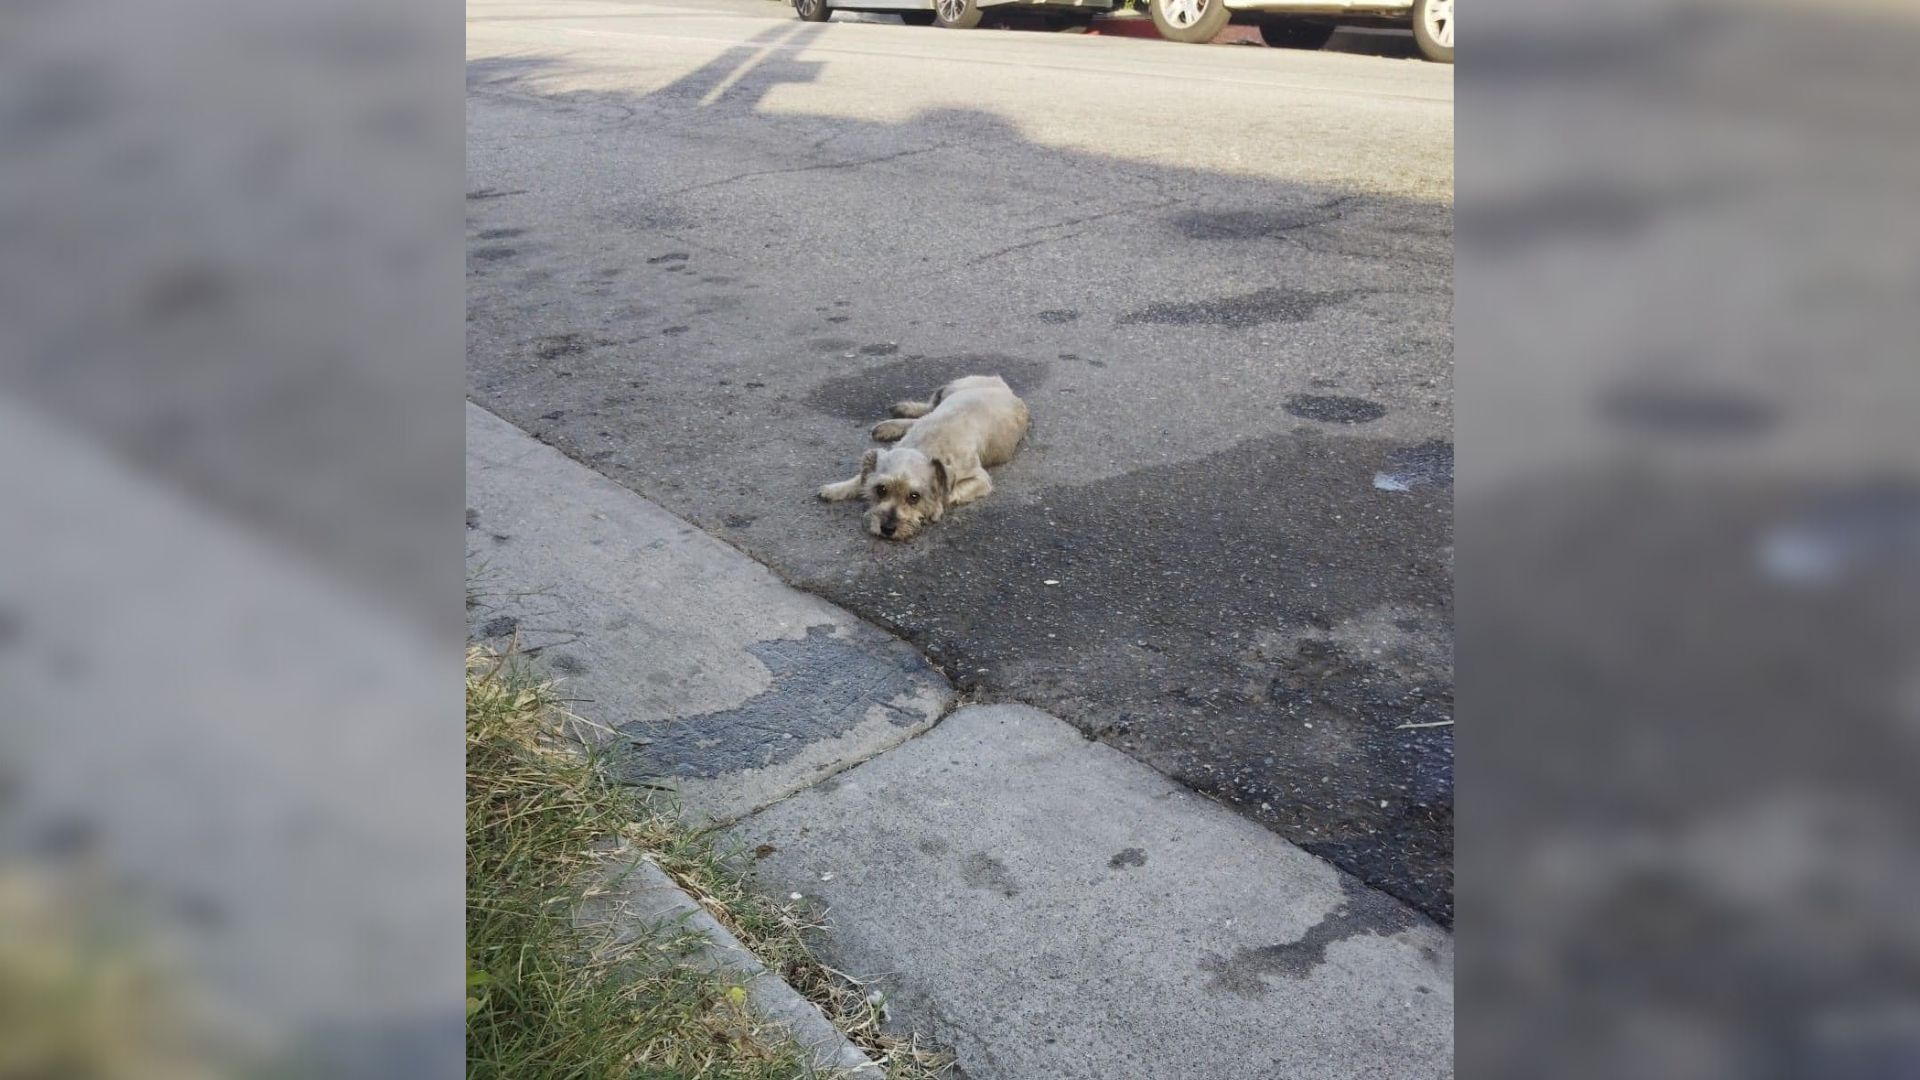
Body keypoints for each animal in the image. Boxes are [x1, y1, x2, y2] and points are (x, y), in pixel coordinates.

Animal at [825, 374, 1036, 538]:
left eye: (914, 496)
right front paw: (837, 488)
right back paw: (896, 418)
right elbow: (859, 477)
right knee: (927, 408)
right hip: (950, 389)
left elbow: (949, 493)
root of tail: (1003, 386)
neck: (926, 446)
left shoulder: (980, 480)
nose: (887, 529)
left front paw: (935, 507)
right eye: (881, 490)